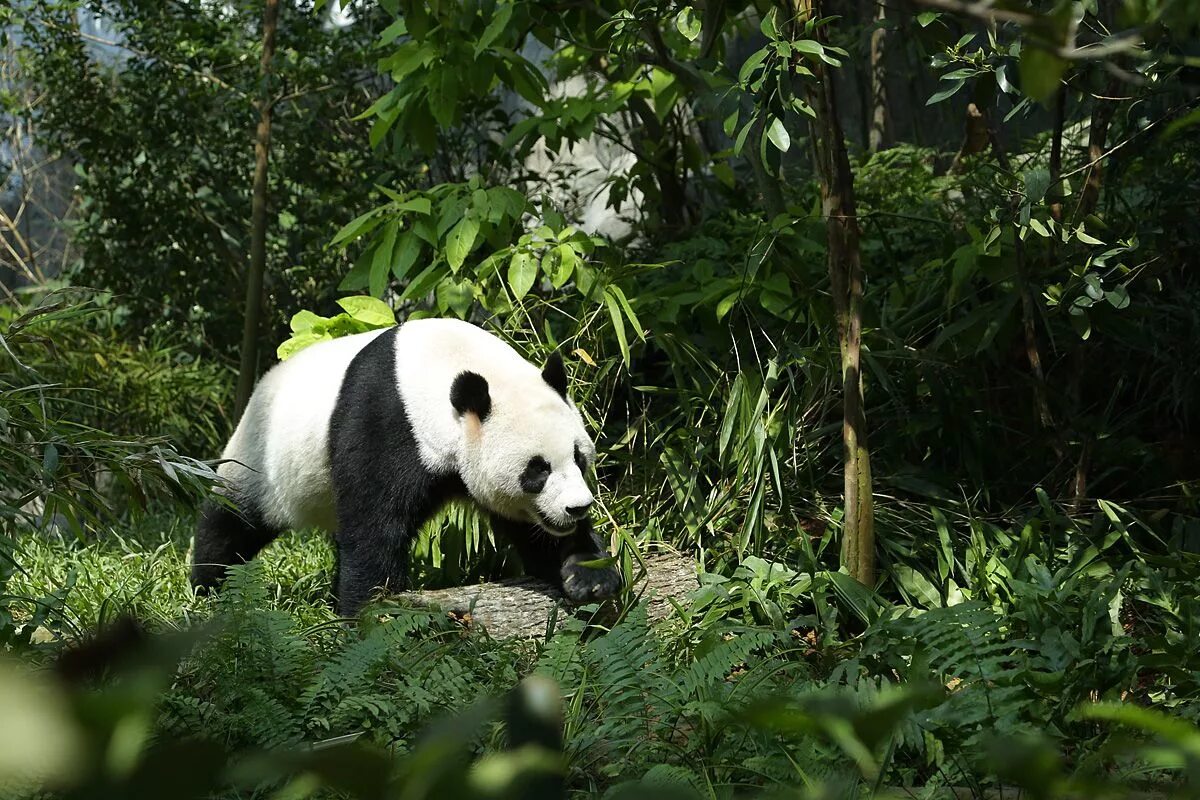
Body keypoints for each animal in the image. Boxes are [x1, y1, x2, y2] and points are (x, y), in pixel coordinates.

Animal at [189, 316, 619, 618]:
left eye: (579, 457)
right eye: (537, 470)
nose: (577, 508)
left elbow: (533, 531)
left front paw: (588, 576)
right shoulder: (387, 420)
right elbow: (375, 526)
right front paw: (372, 612)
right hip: (261, 458)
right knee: (230, 524)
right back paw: (208, 588)